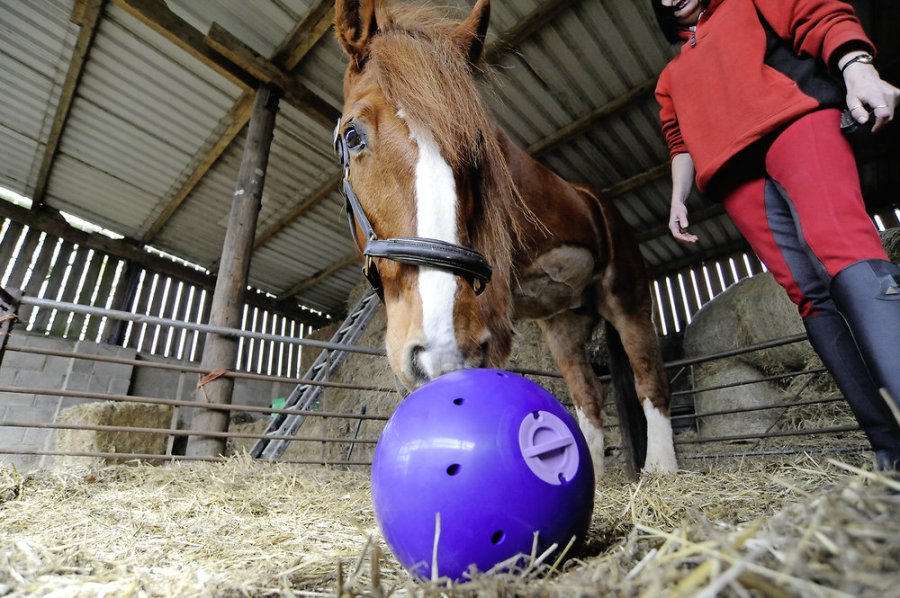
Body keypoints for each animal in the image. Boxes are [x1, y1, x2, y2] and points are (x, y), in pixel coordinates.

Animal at [332, 0, 677, 477]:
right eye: (352, 135)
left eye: (476, 145)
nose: (439, 347)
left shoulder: (489, 316)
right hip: (564, 326)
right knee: (589, 395)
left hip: (627, 299)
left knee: (649, 376)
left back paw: (662, 469)